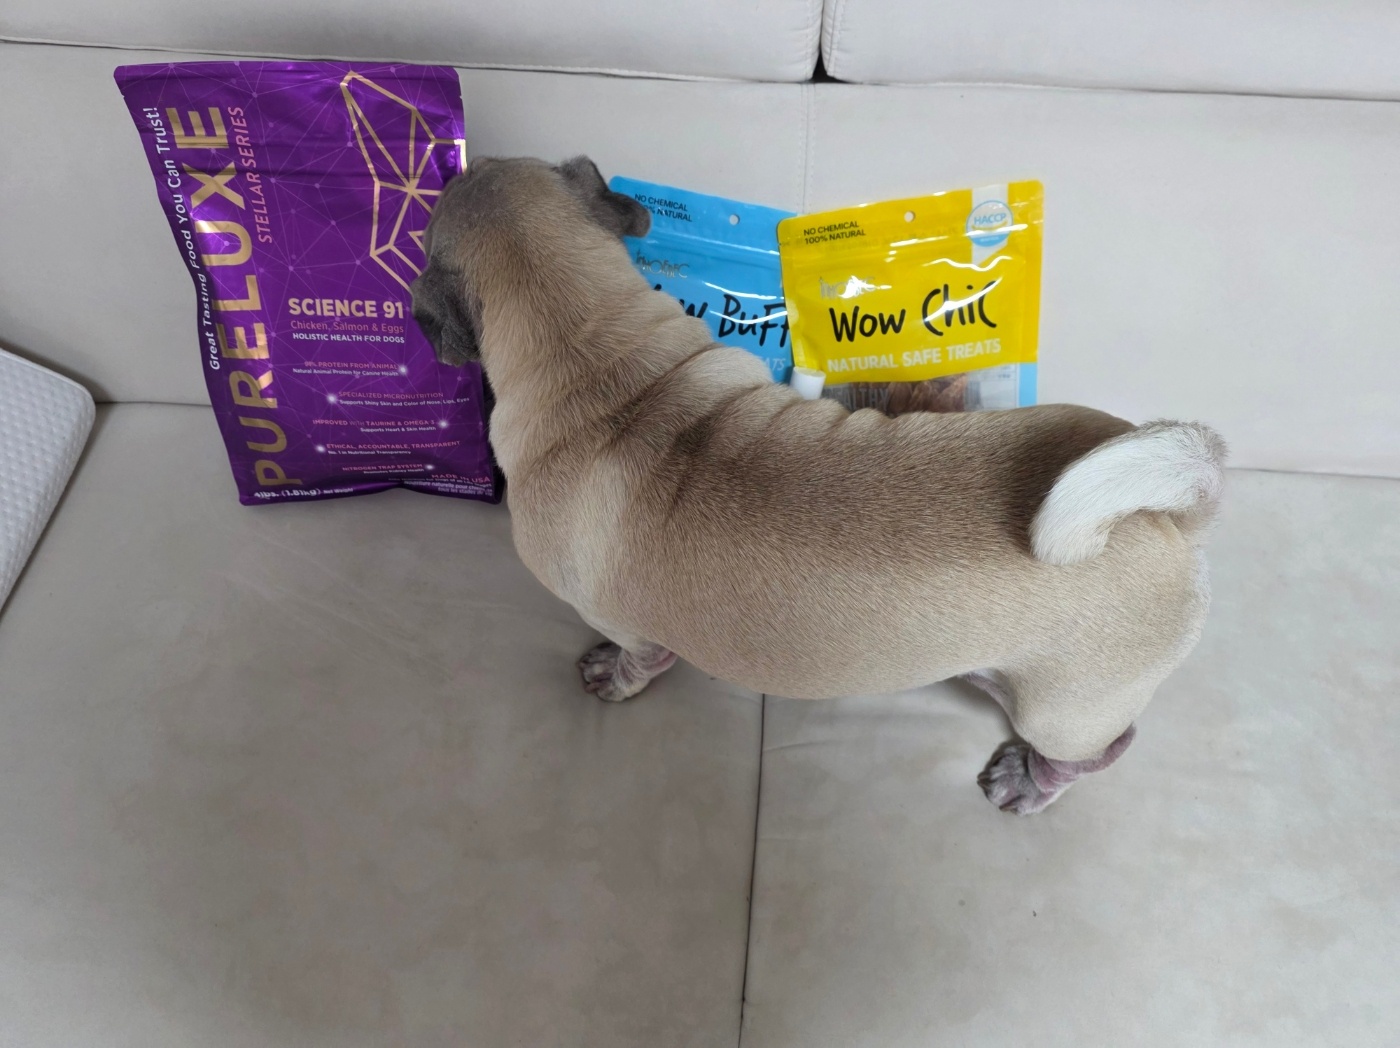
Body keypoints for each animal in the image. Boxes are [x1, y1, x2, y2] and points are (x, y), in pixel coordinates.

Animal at [411, 156, 1225, 814]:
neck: (595, 360)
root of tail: (1166, 511)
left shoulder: (621, 622)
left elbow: (639, 659)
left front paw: (614, 676)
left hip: (1067, 709)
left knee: (1096, 750)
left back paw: (1029, 781)